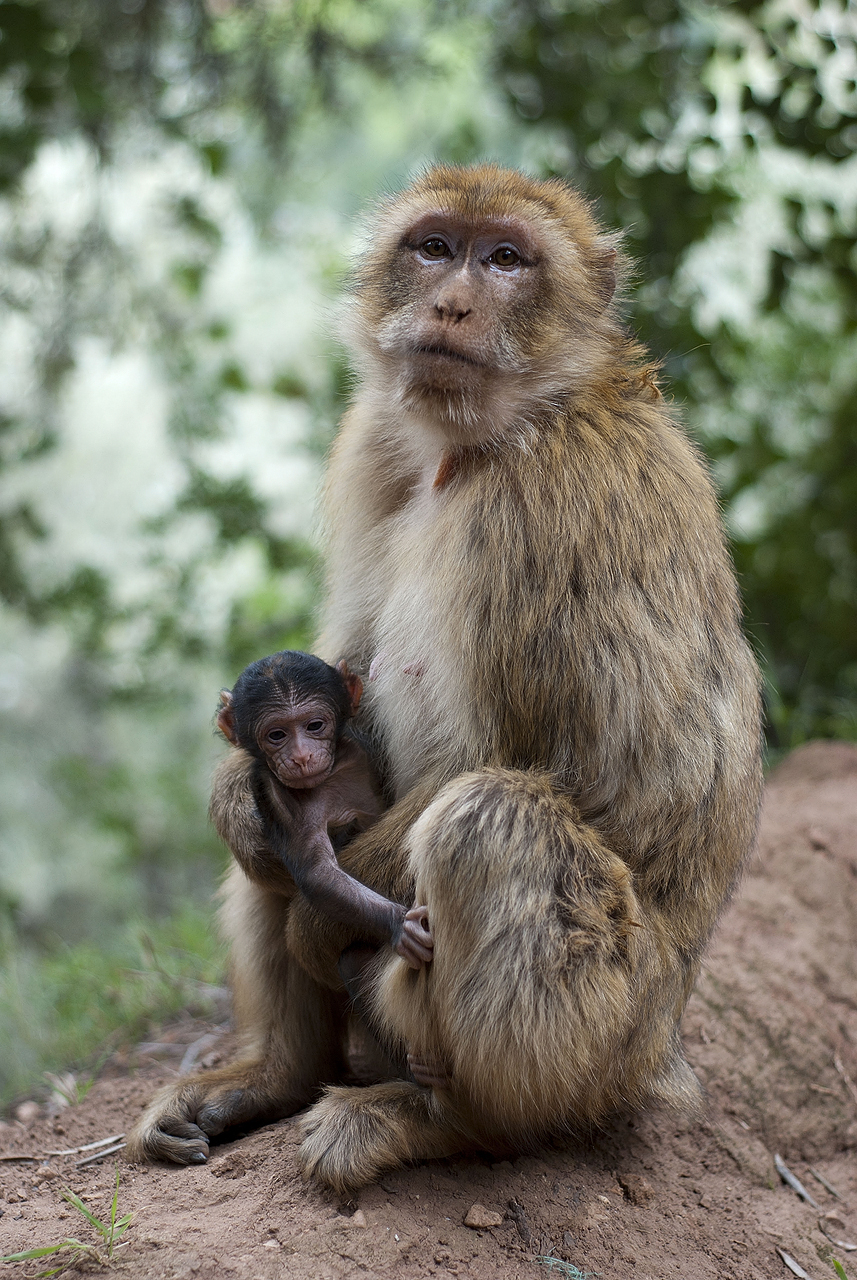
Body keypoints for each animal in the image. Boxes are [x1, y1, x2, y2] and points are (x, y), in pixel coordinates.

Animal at [218, 650, 437, 967]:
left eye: (314, 726)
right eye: (276, 735)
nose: (301, 756)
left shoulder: (361, 754)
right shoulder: (278, 797)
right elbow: (318, 872)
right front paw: (398, 923)